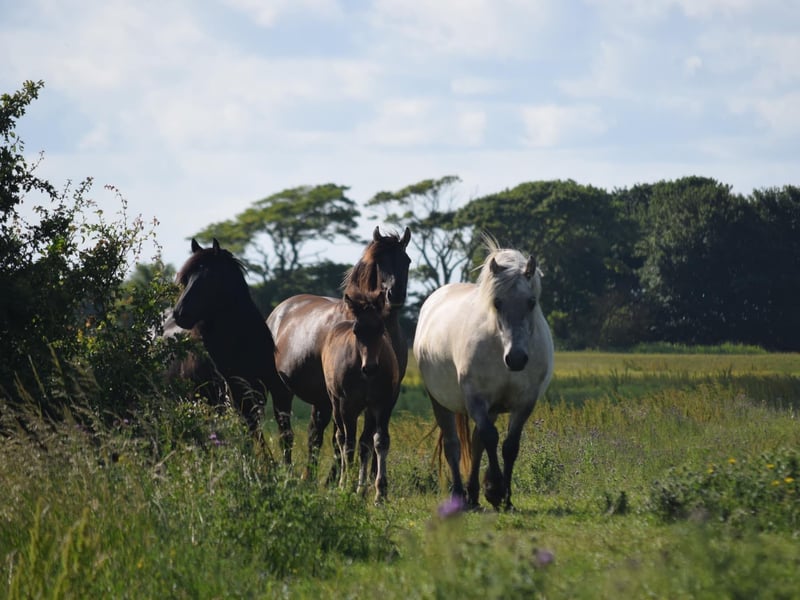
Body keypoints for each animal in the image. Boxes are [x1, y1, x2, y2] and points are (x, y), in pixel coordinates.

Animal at [266, 226, 411, 473]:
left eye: (407, 260)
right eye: (380, 262)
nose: (396, 294)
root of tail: (278, 311)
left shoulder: (385, 397)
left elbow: (369, 440)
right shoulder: (347, 400)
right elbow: (344, 441)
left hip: (321, 400)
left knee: (314, 435)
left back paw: (309, 476)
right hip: (284, 391)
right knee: (287, 433)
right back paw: (291, 473)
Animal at [321, 288, 399, 502]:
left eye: (381, 329)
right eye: (357, 331)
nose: (370, 368)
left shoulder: (382, 404)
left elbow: (379, 441)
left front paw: (380, 493)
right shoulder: (348, 405)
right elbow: (349, 444)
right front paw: (345, 486)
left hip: (369, 409)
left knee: (365, 443)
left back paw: (361, 489)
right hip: (335, 402)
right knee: (341, 438)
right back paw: (344, 483)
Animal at [413, 238, 554, 510]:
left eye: (531, 302)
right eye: (497, 302)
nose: (517, 358)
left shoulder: (524, 402)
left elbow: (509, 446)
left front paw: (505, 497)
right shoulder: (476, 398)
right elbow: (489, 437)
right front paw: (496, 490)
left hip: (490, 408)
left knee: (476, 442)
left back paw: (474, 495)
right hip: (441, 401)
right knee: (454, 445)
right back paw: (460, 495)